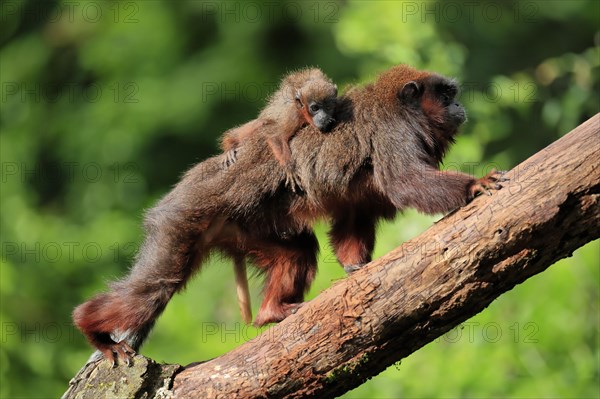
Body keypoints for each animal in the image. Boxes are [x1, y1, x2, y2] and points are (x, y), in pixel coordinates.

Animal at [70, 65, 504, 366]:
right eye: (446, 96)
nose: (459, 105)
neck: (402, 109)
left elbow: (353, 211)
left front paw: (355, 267)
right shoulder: (393, 132)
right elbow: (404, 181)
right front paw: (473, 186)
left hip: (242, 227)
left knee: (297, 250)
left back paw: (271, 312)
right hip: (182, 219)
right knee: (153, 288)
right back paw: (90, 327)